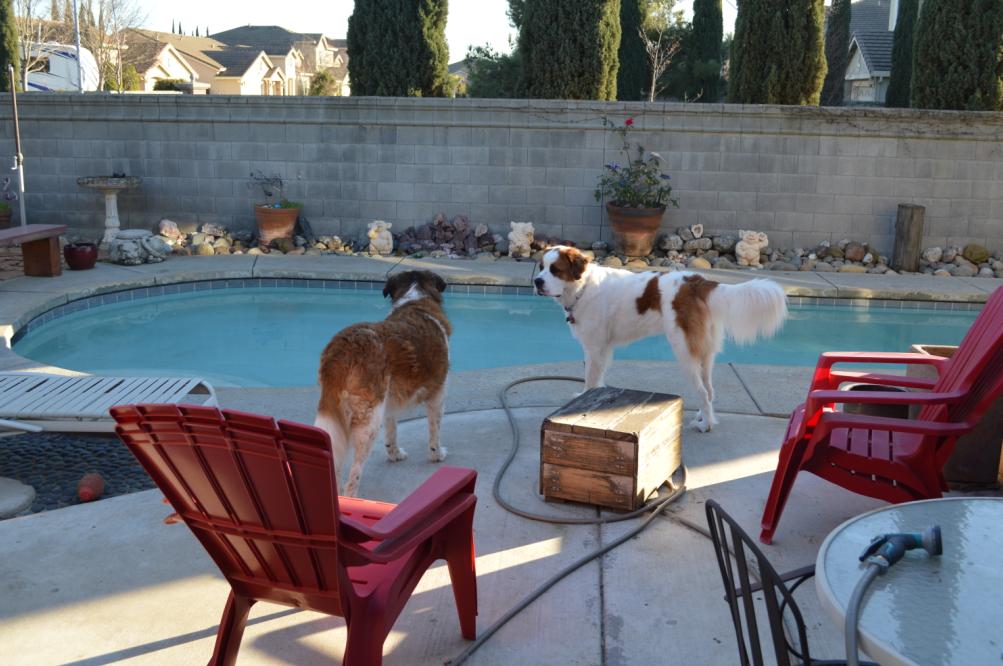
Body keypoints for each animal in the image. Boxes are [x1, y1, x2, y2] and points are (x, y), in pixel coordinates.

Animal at [315, 270, 451, 496]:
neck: (416, 301)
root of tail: (342, 348)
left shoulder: (390, 401)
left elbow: (392, 429)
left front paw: (394, 454)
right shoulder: (438, 394)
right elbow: (434, 430)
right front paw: (436, 454)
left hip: (341, 413)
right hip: (368, 422)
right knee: (354, 474)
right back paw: (352, 497)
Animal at [534, 246, 787, 432]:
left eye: (555, 269)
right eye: (541, 267)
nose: (537, 281)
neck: (583, 287)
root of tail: (696, 281)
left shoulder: (595, 348)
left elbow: (590, 380)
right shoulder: (603, 349)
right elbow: (597, 380)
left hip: (685, 351)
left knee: (702, 392)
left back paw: (706, 425)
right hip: (705, 353)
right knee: (709, 389)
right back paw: (704, 417)